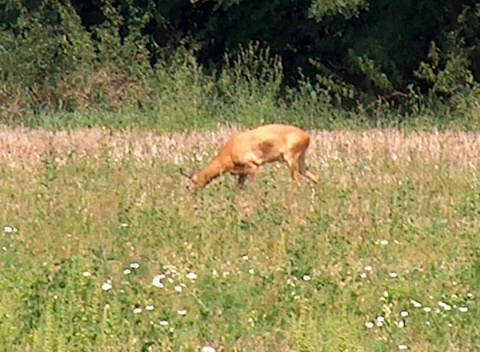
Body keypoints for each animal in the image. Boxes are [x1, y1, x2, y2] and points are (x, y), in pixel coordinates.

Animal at [180, 124, 318, 190]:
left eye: (191, 182)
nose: (190, 191)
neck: (228, 155)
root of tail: (307, 137)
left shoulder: (253, 165)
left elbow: (254, 187)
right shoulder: (243, 172)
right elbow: (238, 189)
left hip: (291, 157)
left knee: (298, 183)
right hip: (300, 159)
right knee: (315, 176)